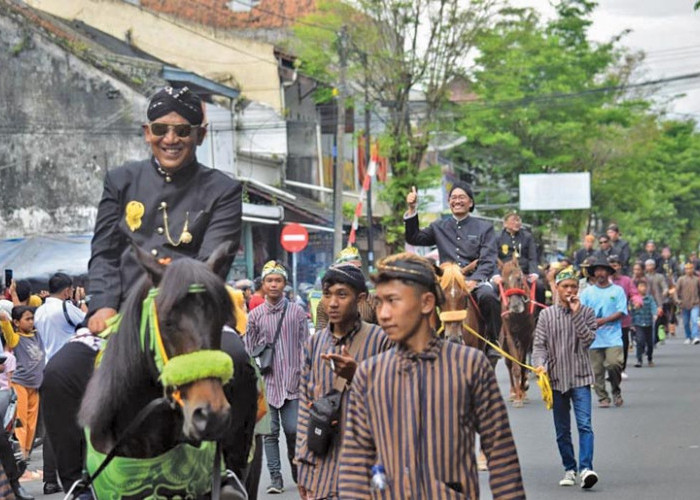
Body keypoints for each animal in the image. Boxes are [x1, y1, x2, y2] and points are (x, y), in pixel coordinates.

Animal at [498, 258, 536, 406]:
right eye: (503, 282)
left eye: (519, 278)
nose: (514, 306)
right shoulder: (510, 336)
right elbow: (514, 365)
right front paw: (518, 397)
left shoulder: (526, 337)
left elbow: (522, 363)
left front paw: (523, 391)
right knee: (509, 363)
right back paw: (514, 391)